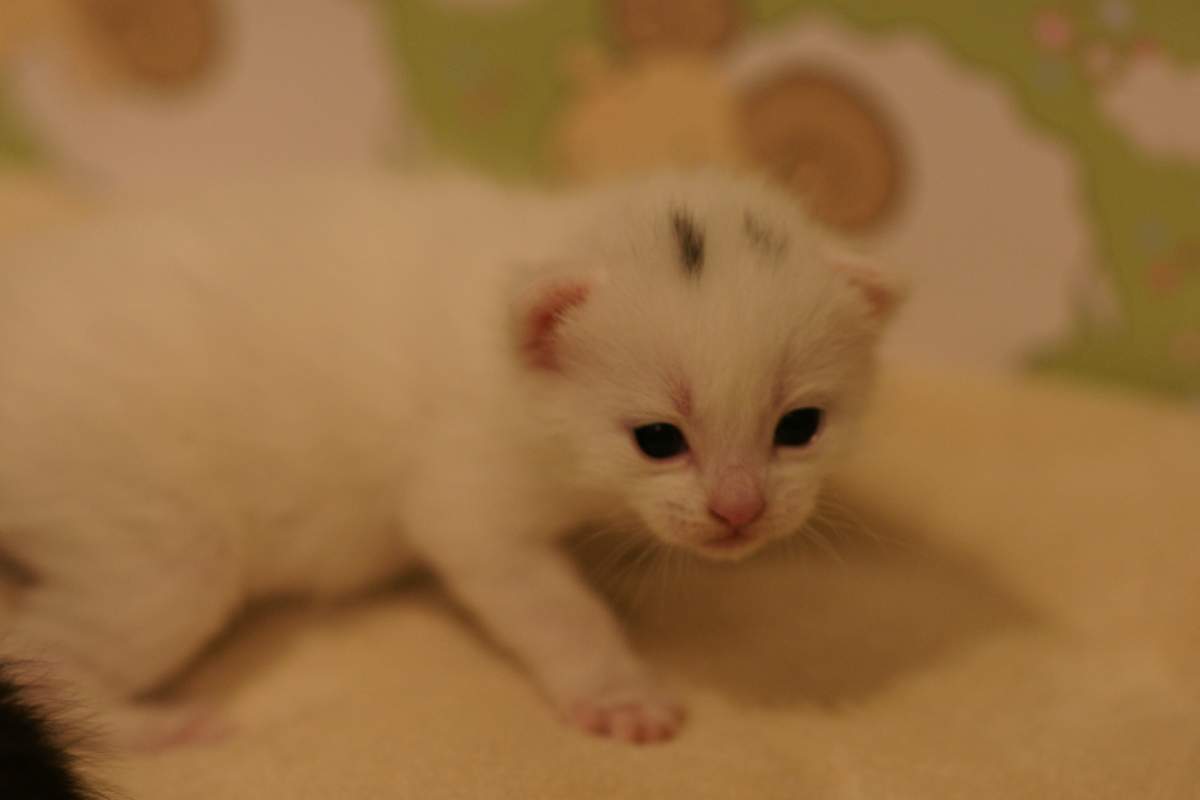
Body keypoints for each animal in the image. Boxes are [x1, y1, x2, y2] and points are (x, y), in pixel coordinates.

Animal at [0, 167, 902, 745]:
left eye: (800, 426)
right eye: (657, 440)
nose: (740, 511)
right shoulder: (468, 482)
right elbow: (549, 602)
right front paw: (617, 692)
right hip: (154, 541)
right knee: (36, 649)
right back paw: (151, 725)